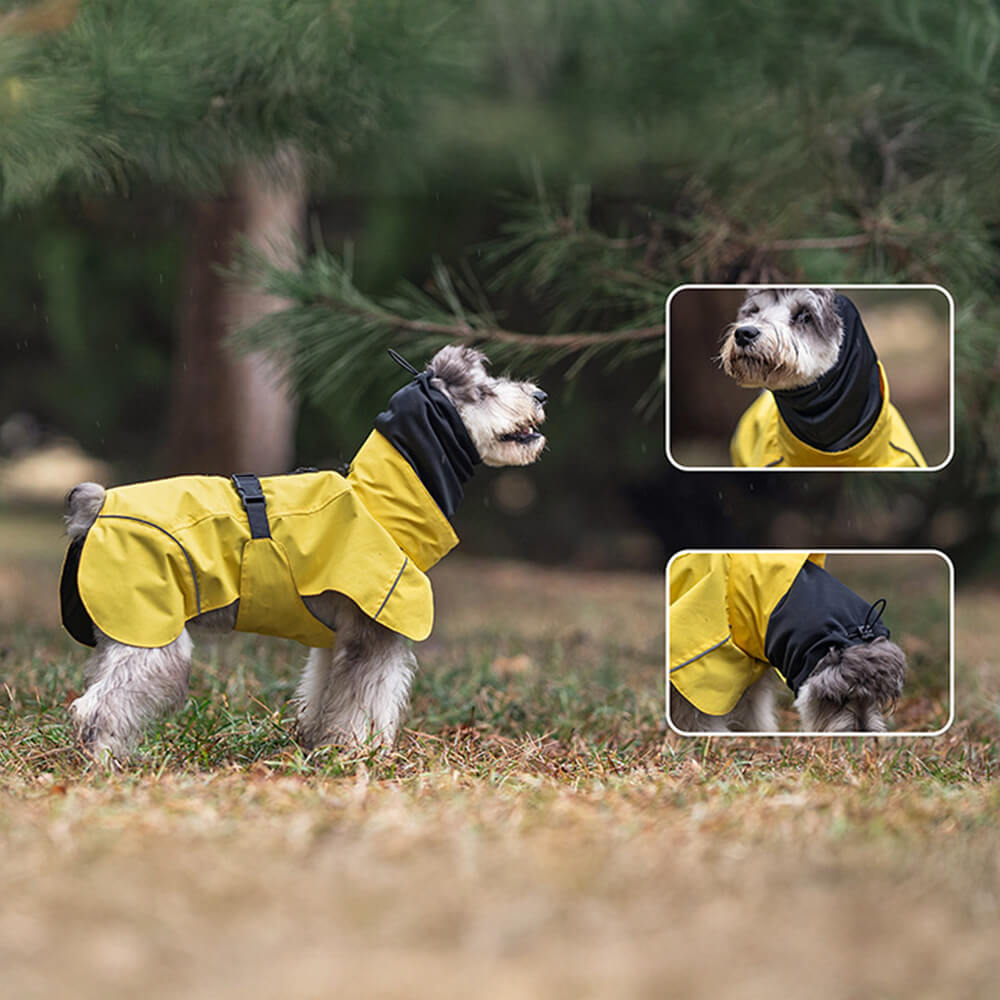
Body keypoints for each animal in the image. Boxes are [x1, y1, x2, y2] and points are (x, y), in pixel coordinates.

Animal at [62, 348, 548, 760]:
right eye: (484, 391)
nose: (541, 396)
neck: (380, 499)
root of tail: (97, 504)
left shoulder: (335, 640)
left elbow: (324, 693)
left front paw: (321, 743)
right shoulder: (375, 636)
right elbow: (367, 699)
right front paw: (357, 753)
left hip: (123, 631)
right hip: (154, 638)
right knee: (97, 707)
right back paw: (108, 763)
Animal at [668, 556, 912, 736]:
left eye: (876, 697)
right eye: (837, 698)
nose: (863, 733)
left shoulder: (751, 670)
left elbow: (755, 714)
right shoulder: (704, 677)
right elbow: (703, 719)